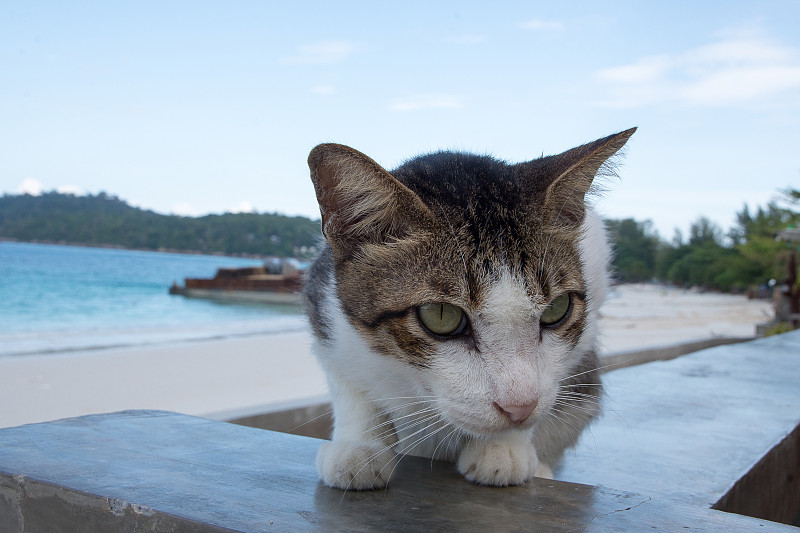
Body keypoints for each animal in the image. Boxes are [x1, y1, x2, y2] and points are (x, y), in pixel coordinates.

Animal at [304, 127, 636, 488]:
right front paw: (359, 446)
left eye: (556, 309)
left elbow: (551, 379)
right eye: (441, 315)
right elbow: (349, 382)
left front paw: (503, 447)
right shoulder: (324, 305)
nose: (519, 407)